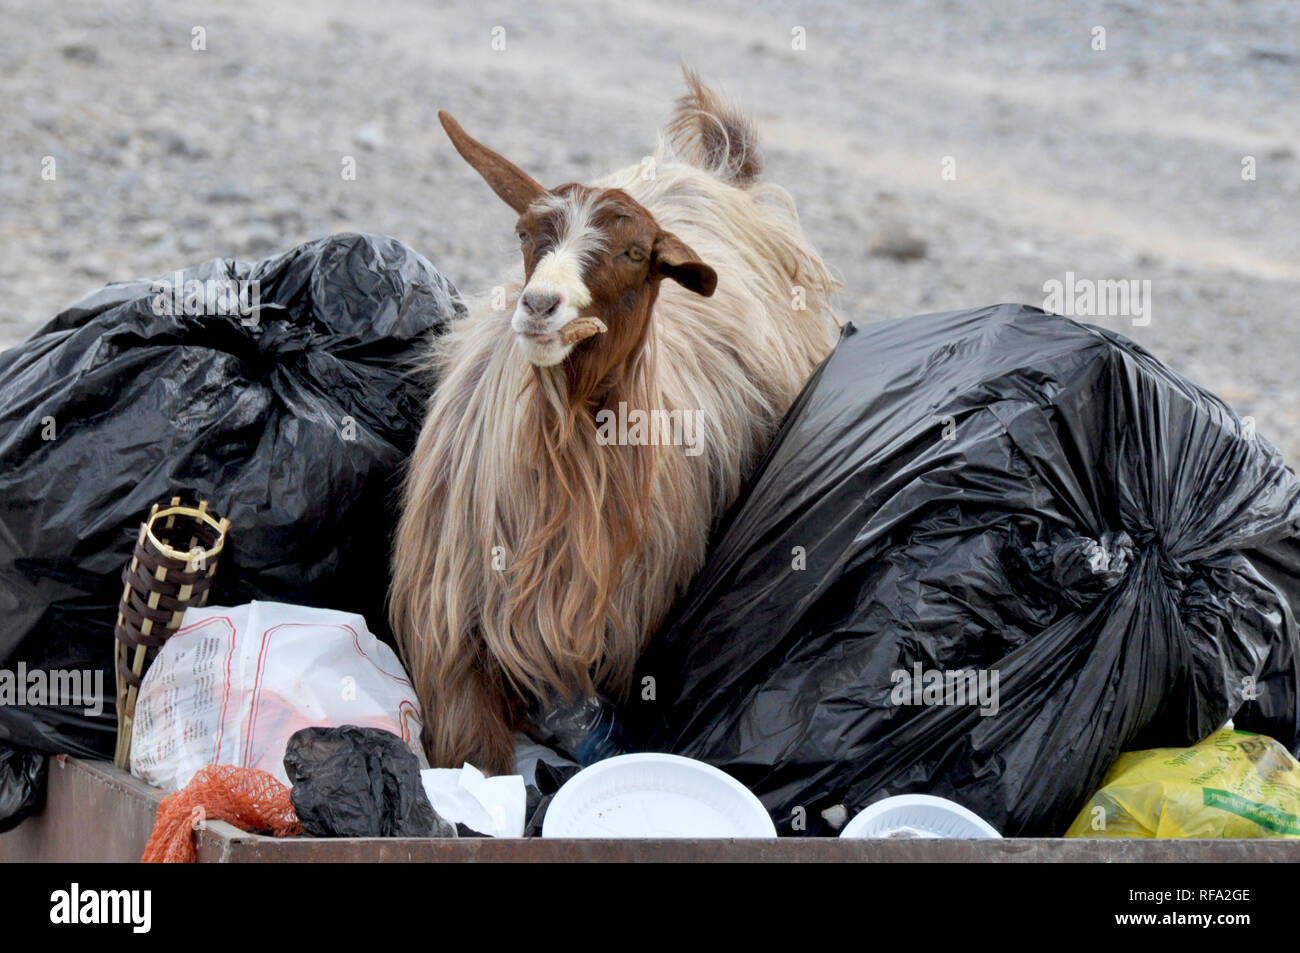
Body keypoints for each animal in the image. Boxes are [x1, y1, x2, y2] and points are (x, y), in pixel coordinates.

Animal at [390, 70, 840, 774]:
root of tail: (713, 169)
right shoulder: (452, 650)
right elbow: (477, 755)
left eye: (635, 253)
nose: (540, 306)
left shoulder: (623, 652)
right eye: (527, 234)